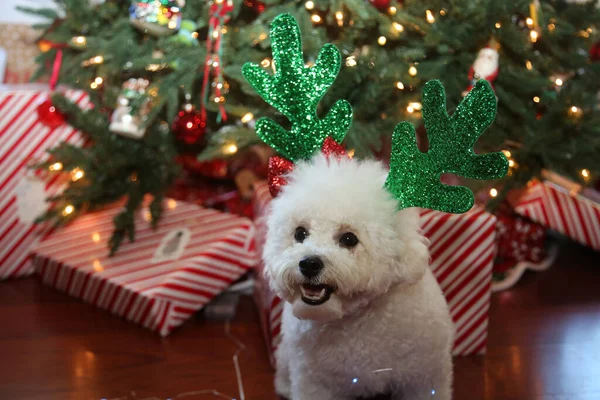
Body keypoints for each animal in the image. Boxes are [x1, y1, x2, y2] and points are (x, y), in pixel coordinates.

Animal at [262, 154, 454, 400]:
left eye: (349, 239)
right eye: (300, 233)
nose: (309, 264)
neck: (355, 320)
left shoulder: (423, 377)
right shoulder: (313, 381)